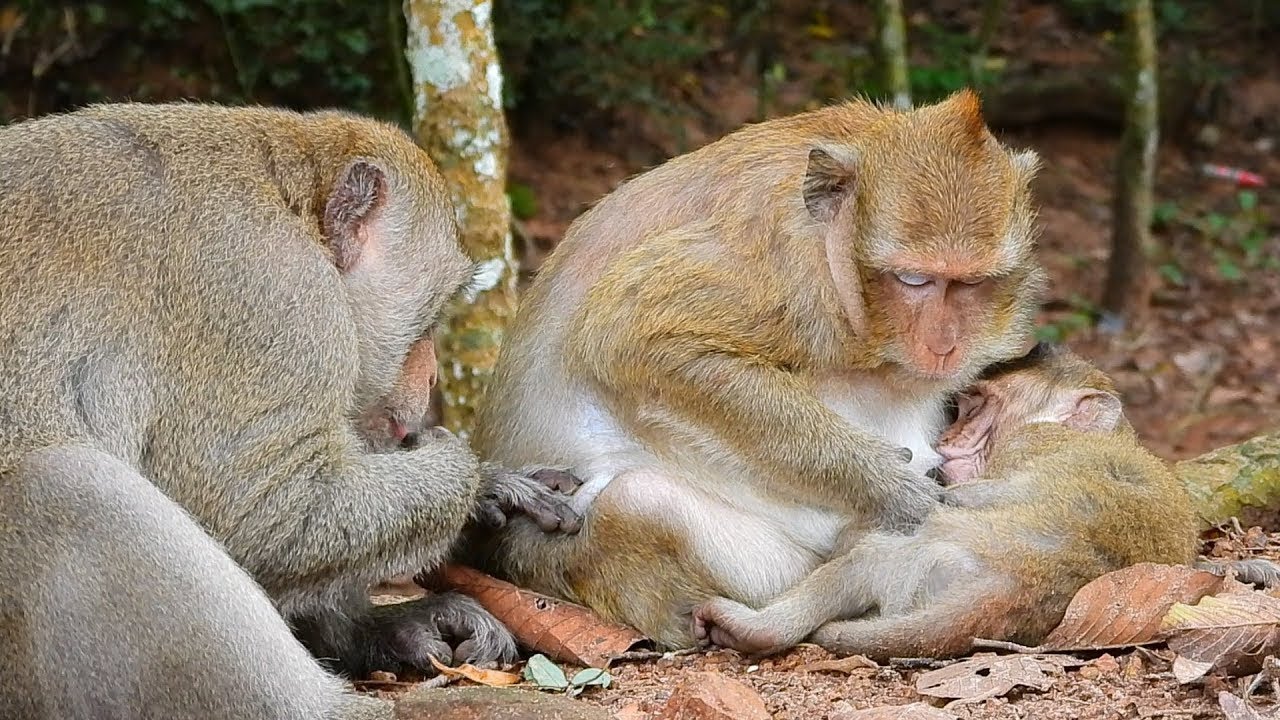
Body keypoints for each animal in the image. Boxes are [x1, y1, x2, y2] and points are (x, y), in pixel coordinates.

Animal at [0, 102, 579, 720]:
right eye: (433, 314)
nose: (430, 378)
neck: (291, 203)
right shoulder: (269, 294)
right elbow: (264, 514)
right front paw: (468, 478)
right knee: (65, 483)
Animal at [467, 89, 1047, 649]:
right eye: (914, 280)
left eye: (971, 284)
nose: (944, 343)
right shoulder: (779, 257)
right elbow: (633, 338)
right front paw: (890, 488)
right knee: (640, 501)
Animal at [691, 345, 1204, 660]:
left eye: (975, 407)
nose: (946, 439)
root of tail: (1016, 591)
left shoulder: (1030, 444)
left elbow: (965, 497)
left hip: (929, 559)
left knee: (869, 558)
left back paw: (759, 629)